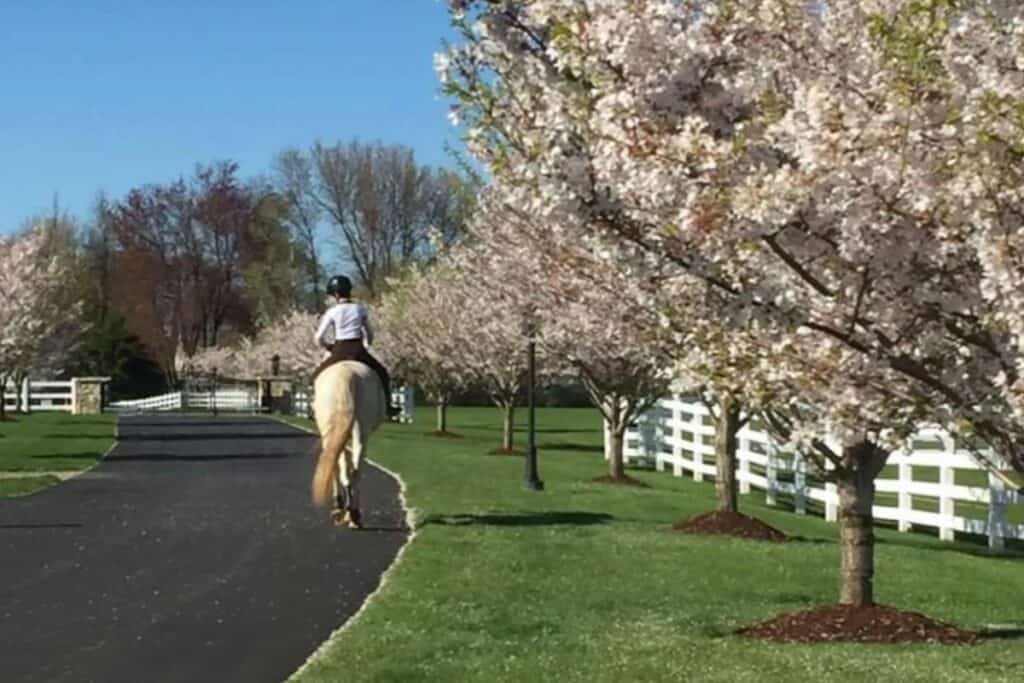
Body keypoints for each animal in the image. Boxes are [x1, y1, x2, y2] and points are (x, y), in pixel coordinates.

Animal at [309, 362, 385, 528]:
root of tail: (346, 373)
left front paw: (338, 505)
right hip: (359, 431)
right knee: (353, 469)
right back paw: (352, 512)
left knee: (343, 467)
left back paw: (349, 511)